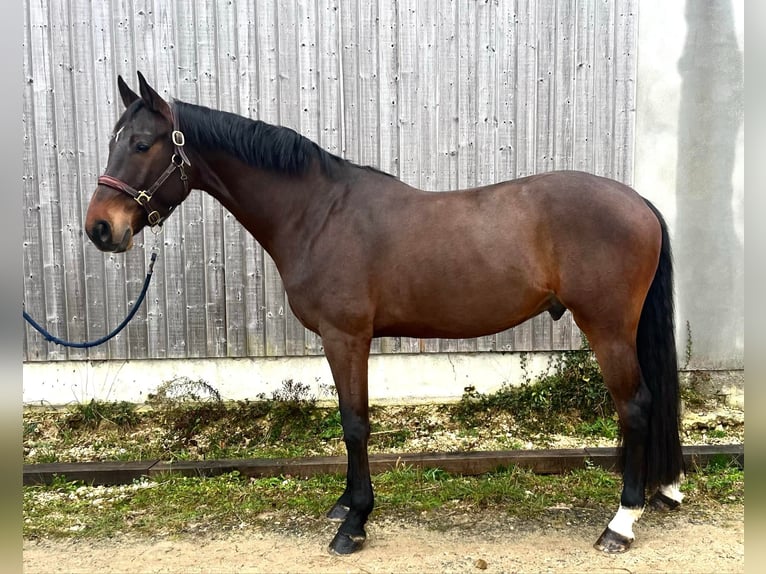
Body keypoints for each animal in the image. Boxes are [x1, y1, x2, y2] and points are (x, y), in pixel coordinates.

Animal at [85, 72, 684, 555]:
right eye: (111, 139)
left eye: (141, 144)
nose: (100, 228)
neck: (318, 213)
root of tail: (638, 201)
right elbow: (349, 419)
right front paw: (345, 503)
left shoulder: (346, 336)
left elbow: (354, 423)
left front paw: (354, 524)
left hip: (607, 328)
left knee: (635, 406)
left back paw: (621, 523)